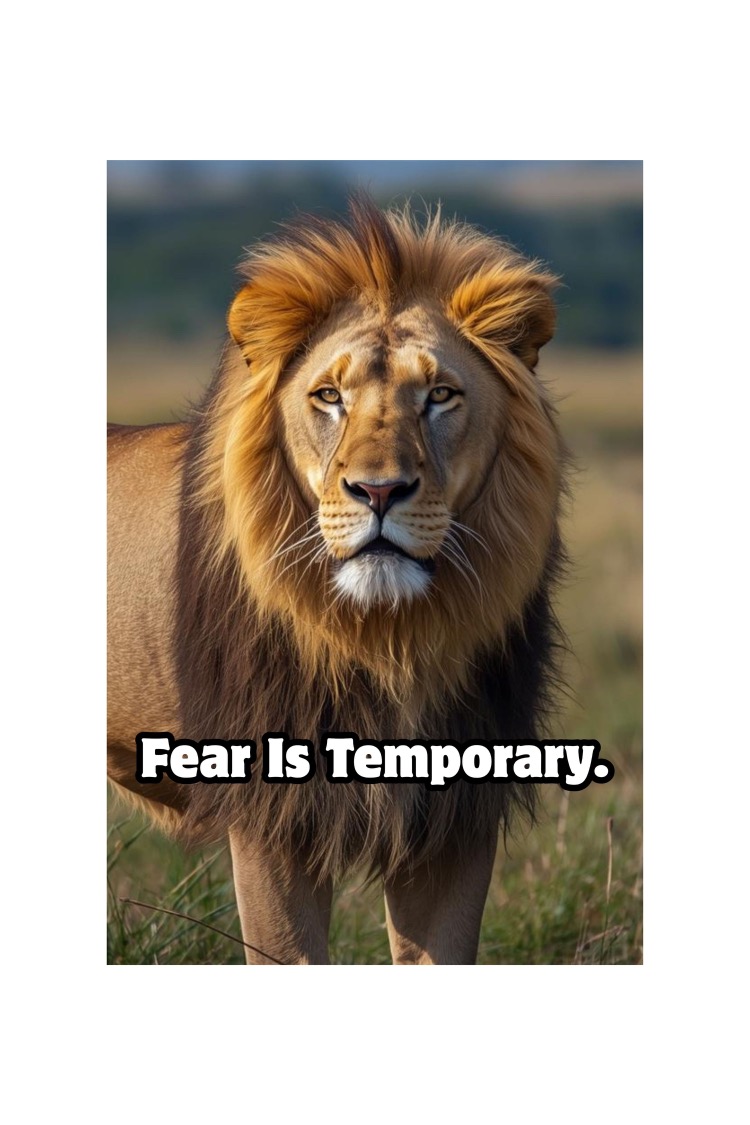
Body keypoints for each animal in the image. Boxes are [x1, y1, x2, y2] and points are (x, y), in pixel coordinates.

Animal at [108, 197, 567, 965]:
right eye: (328, 396)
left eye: (440, 394)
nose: (379, 491)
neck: (385, 639)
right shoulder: (272, 815)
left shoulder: (454, 817)